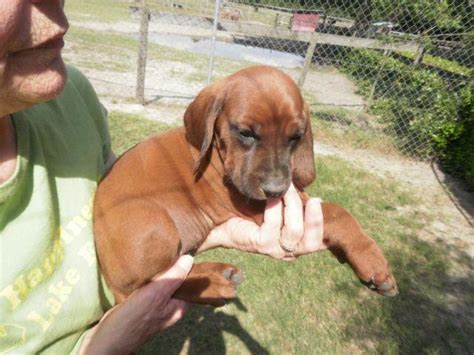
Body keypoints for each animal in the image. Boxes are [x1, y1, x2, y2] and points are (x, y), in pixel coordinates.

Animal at [92, 65, 396, 308]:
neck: (215, 153)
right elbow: (336, 212)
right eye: (246, 133)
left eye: (295, 137)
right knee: (153, 286)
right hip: (157, 225)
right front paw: (373, 260)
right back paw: (211, 286)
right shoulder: (254, 204)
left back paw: (216, 273)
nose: (275, 190)